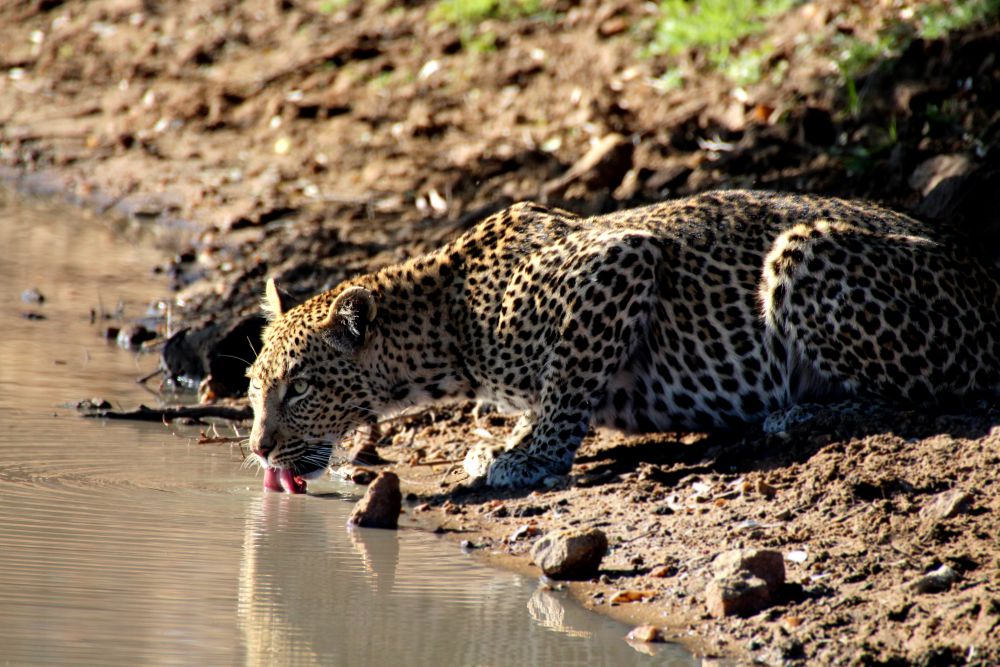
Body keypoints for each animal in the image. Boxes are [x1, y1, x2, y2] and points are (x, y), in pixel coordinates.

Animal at [244, 188, 1000, 490]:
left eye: (301, 388)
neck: (448, 326)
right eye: (254, 389)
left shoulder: (620, 262)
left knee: (928, 398)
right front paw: (502, 443)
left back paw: (796, 413)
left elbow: (566, 386)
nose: (257, 448)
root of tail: (986, 278)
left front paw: (526, 458)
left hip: (803, 248)